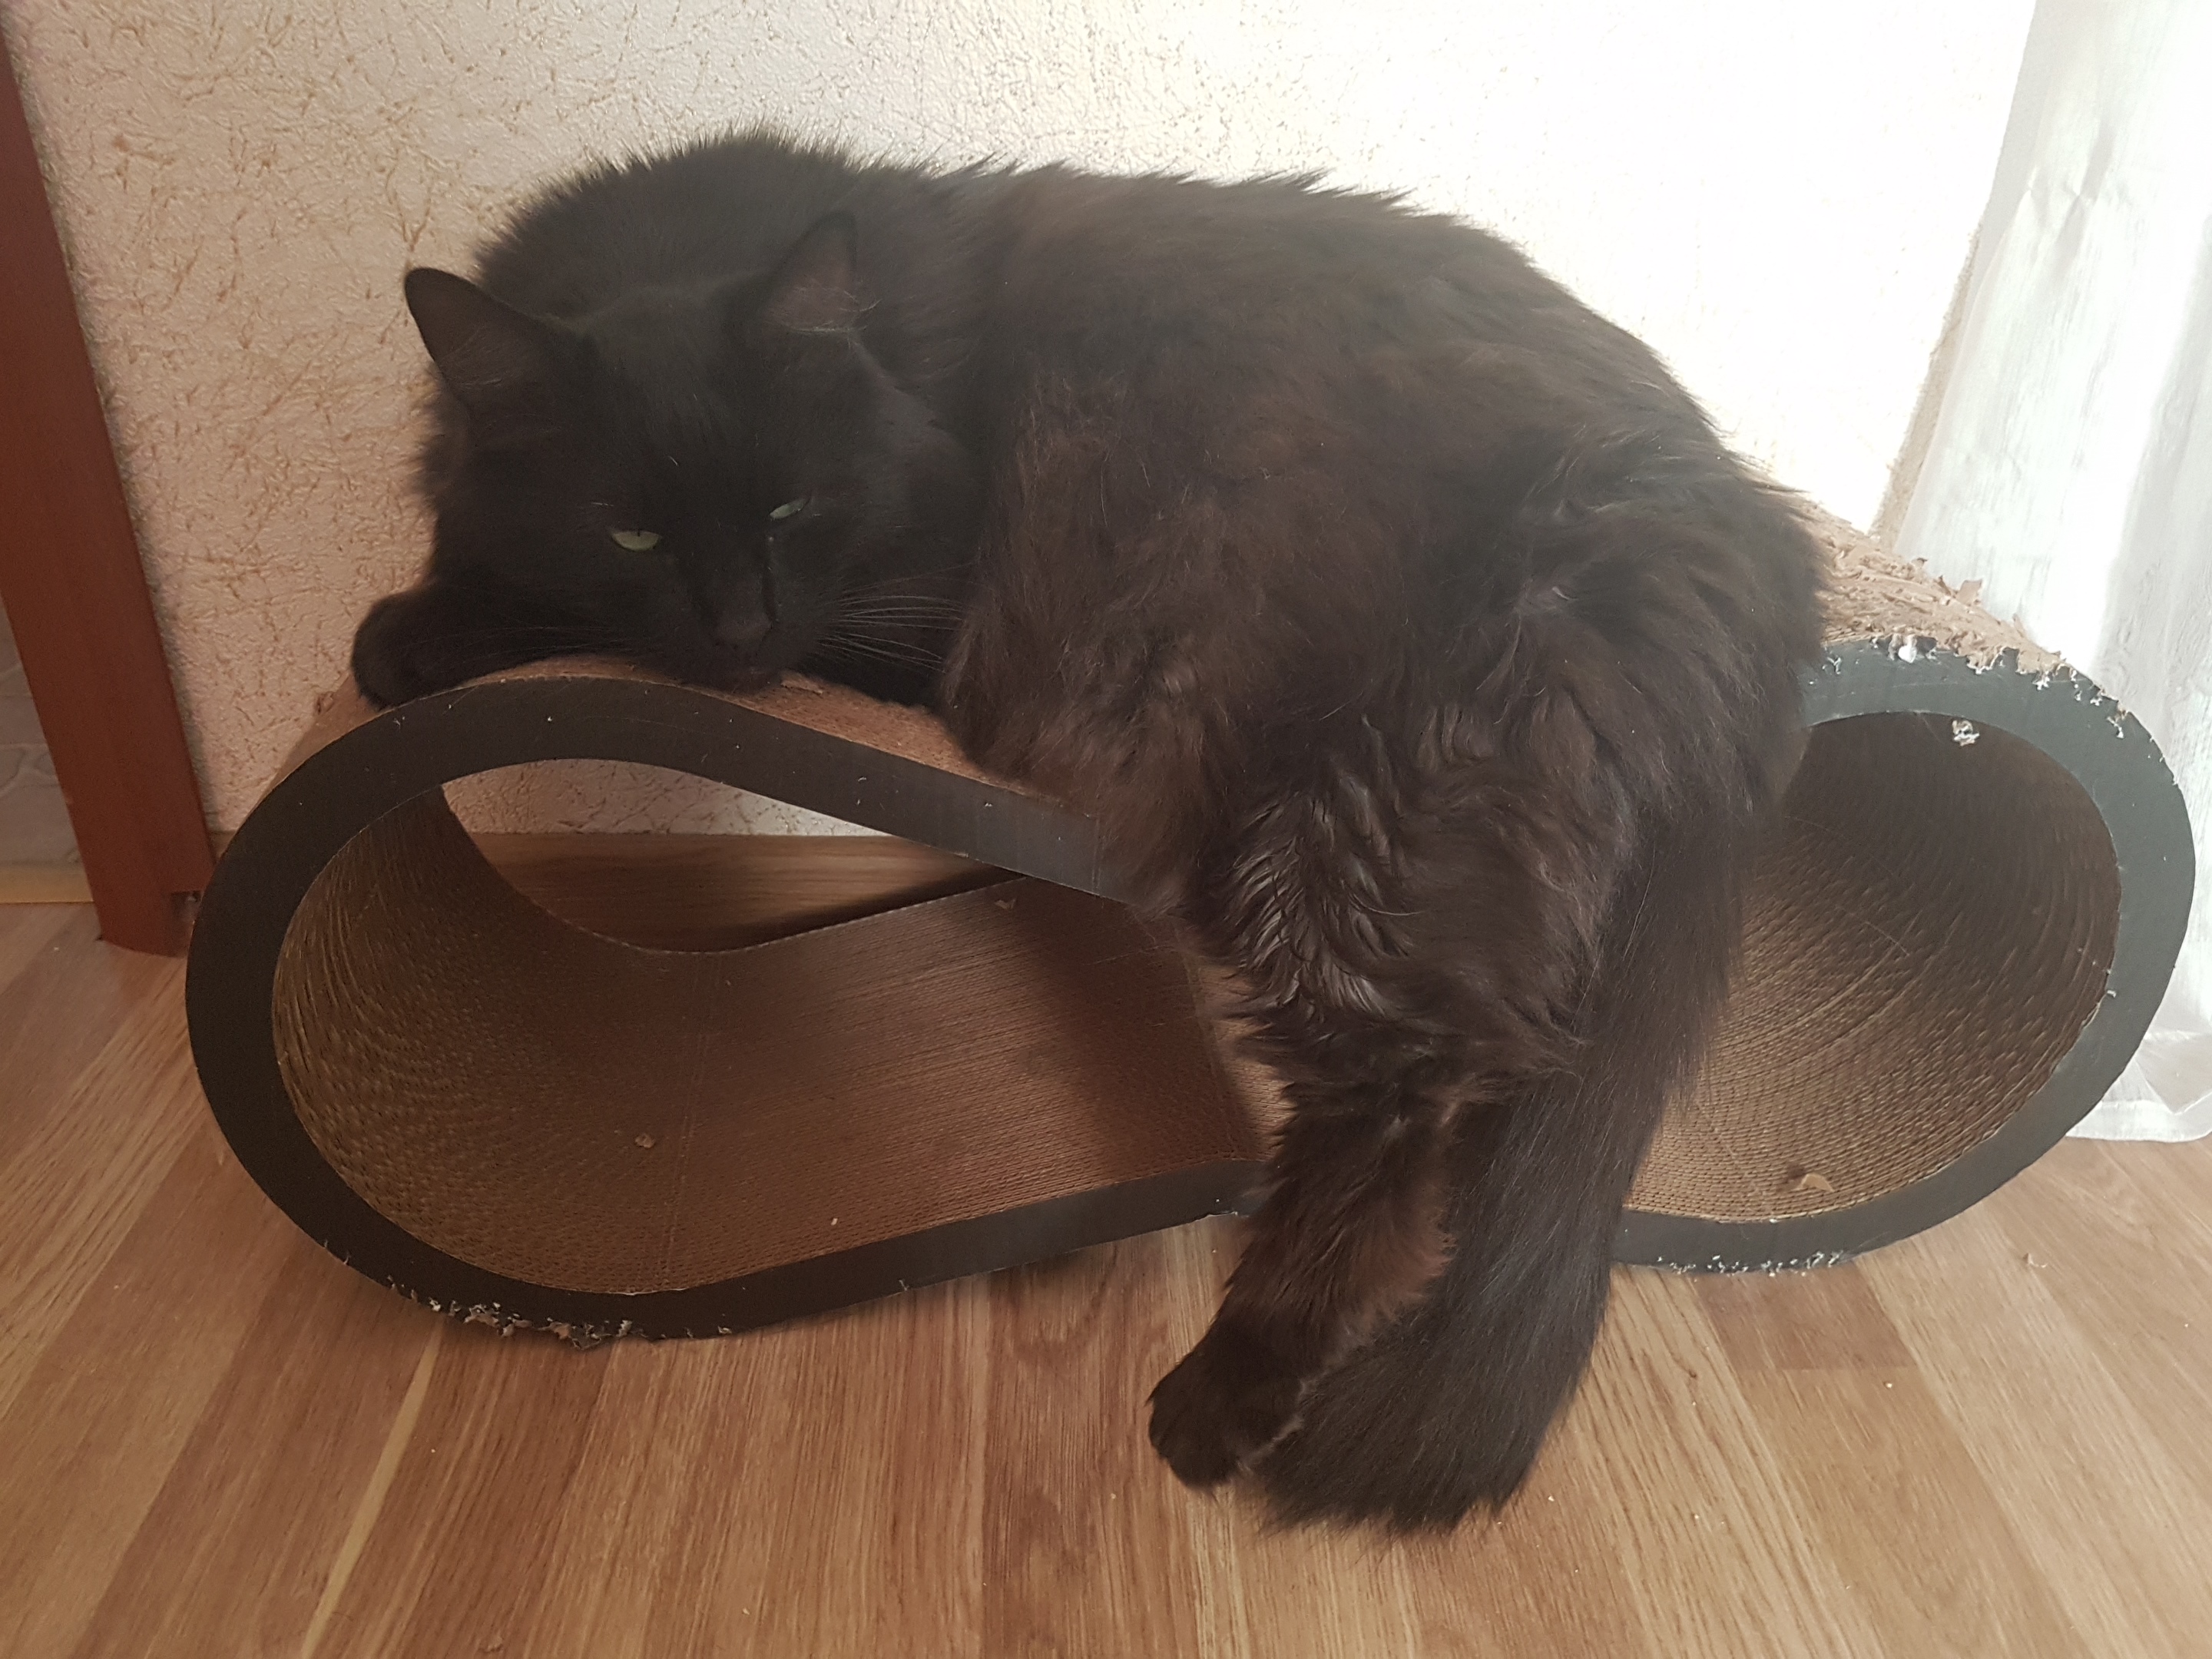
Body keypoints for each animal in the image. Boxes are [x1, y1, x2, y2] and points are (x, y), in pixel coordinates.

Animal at [353, 130, 1824, 1529]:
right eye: (636, 533)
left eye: (789, 507)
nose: (738, 628)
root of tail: (1754, 528)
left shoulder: (910, 616)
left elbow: (543, 611)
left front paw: (403, 637)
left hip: (1355, 829)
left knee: (1408, 1099)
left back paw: (1225, 1394)